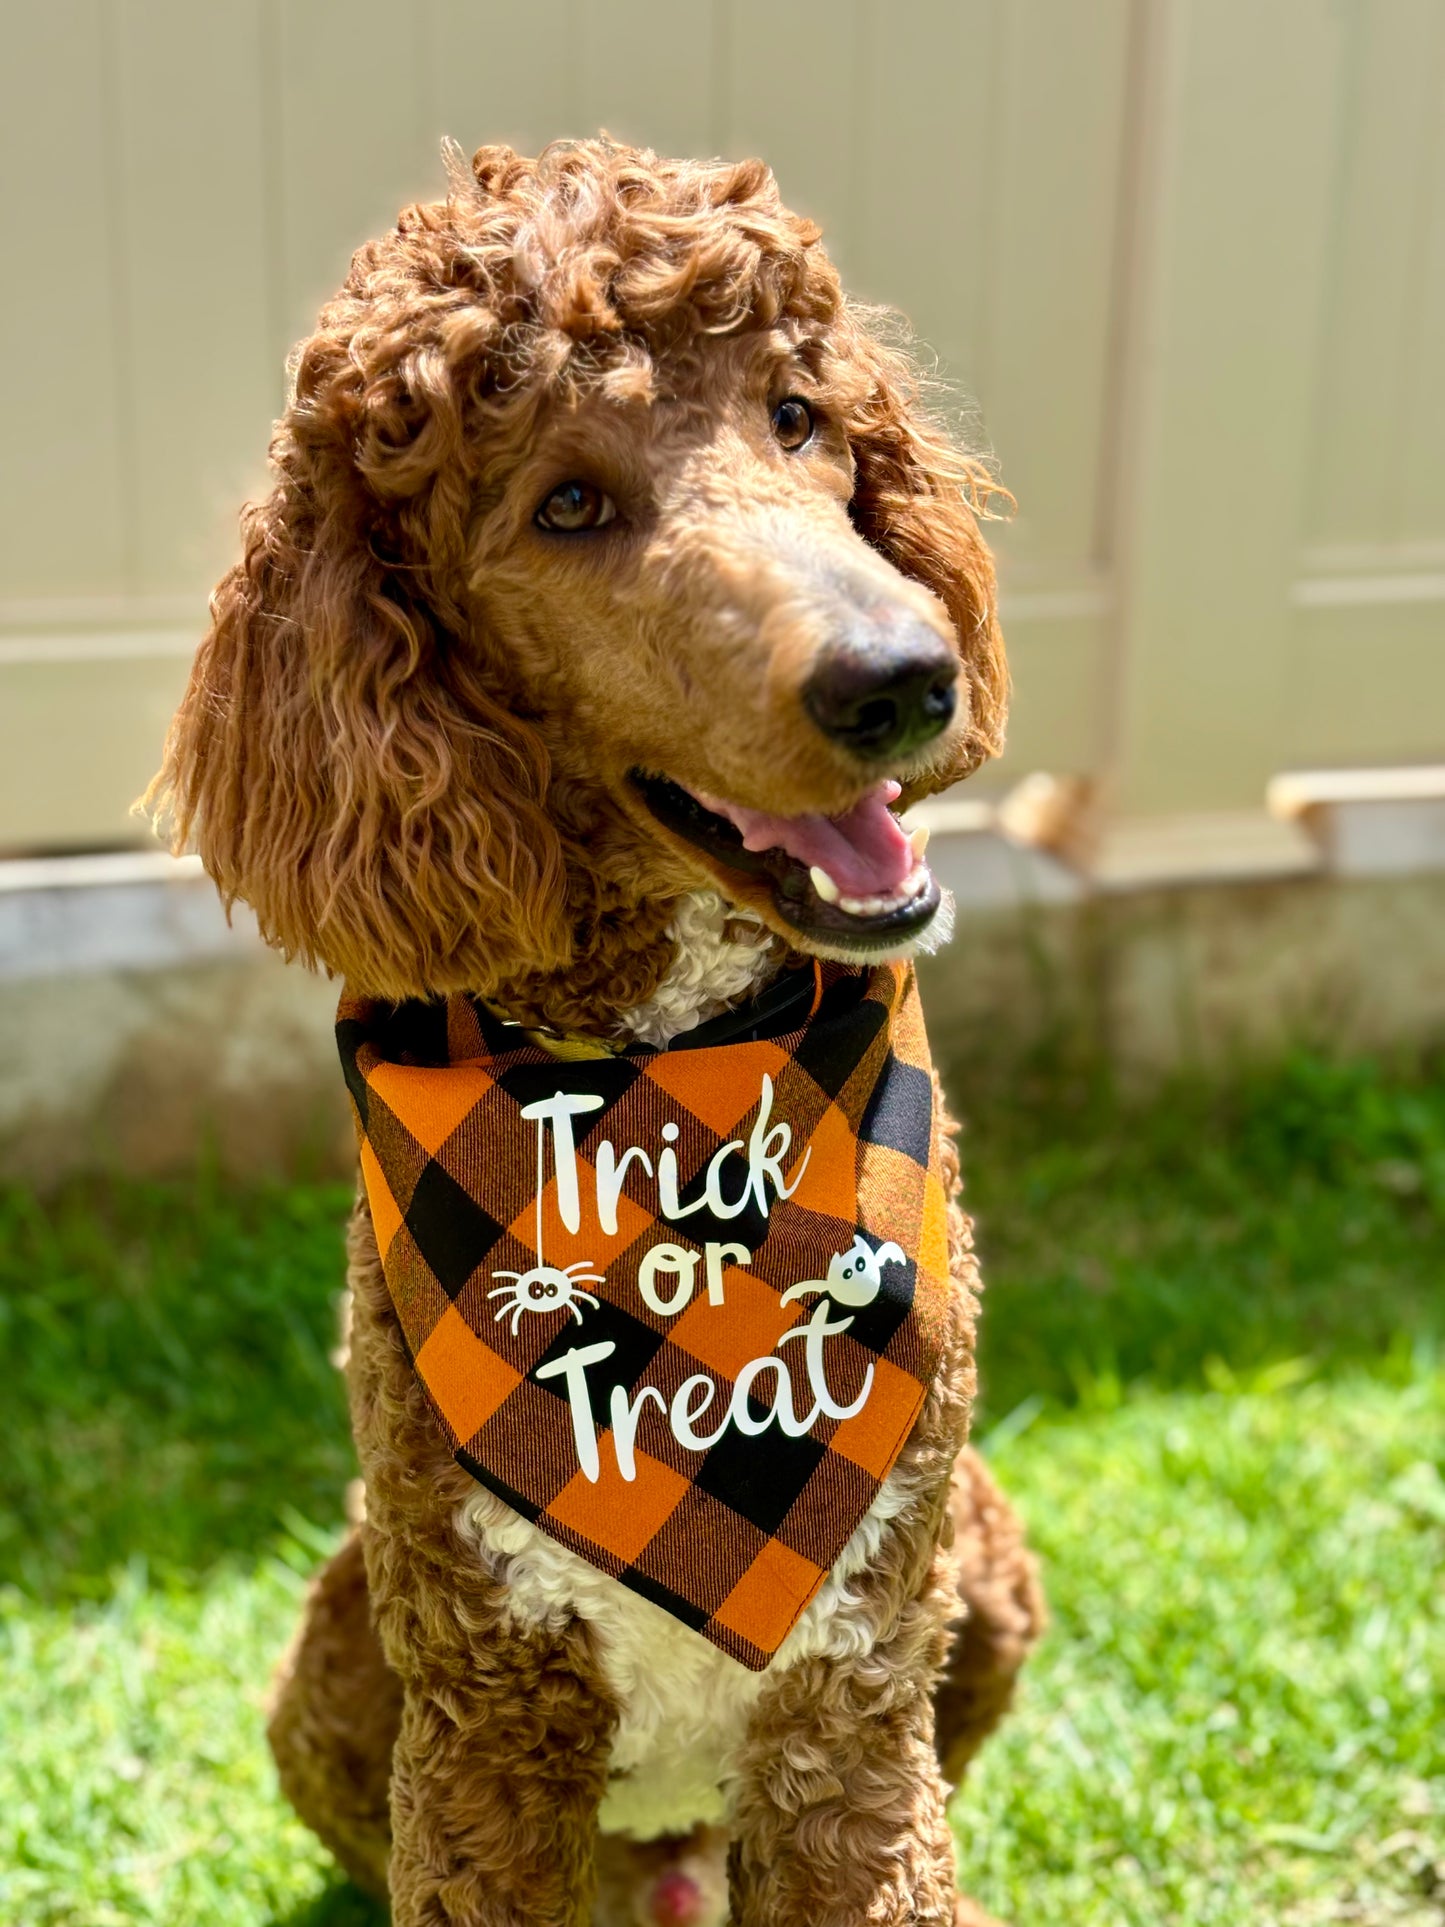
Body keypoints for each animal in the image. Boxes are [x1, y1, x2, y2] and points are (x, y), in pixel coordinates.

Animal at [153, 139, 1048, 1927]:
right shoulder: (487, 1723)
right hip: (338, 1659)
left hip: (982, 1576)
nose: (905, 675)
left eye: (798, 414)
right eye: (566, 504)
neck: (669, 1091)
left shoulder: (854, 1700)